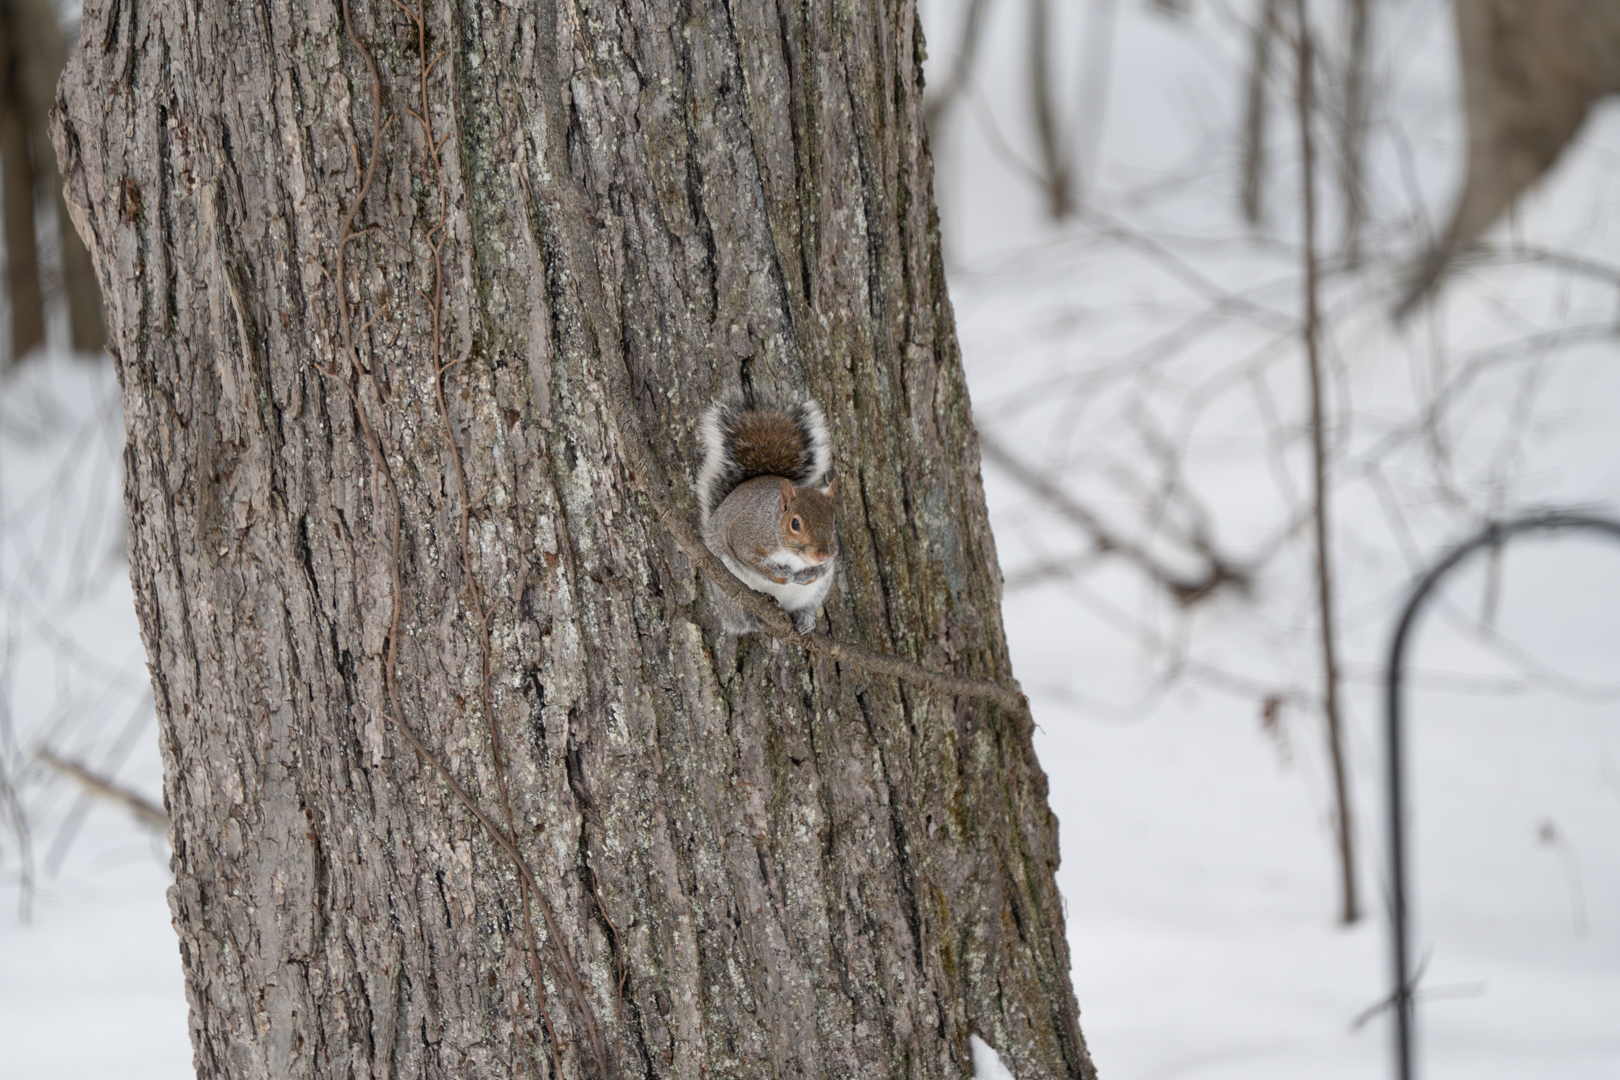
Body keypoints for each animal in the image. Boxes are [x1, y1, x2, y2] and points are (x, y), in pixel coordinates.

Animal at [698, 394, 839, 634]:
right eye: (795, 524)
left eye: (834, 523)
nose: (820, 555)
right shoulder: (745, 533)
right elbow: (750, 558)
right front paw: (782, 575)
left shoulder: (833, 552)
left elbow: (826, 566)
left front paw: (806, 575)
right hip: (728, 591)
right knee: (745, 619)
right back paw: (758, 615)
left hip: (815, 593)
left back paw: (805, 618)